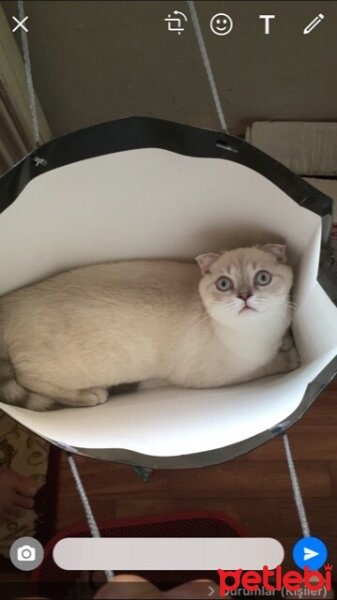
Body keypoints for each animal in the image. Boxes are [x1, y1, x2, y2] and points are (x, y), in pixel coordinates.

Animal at [0, 241, 300, 410]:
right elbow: (266, 366)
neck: (264, 331)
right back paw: (91, 396)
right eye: (224, 284)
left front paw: (286, 342)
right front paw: (290, 356)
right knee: (29, 380)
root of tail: (8, 301)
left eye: (262, 278)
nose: (245, 296)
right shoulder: (216, 377)